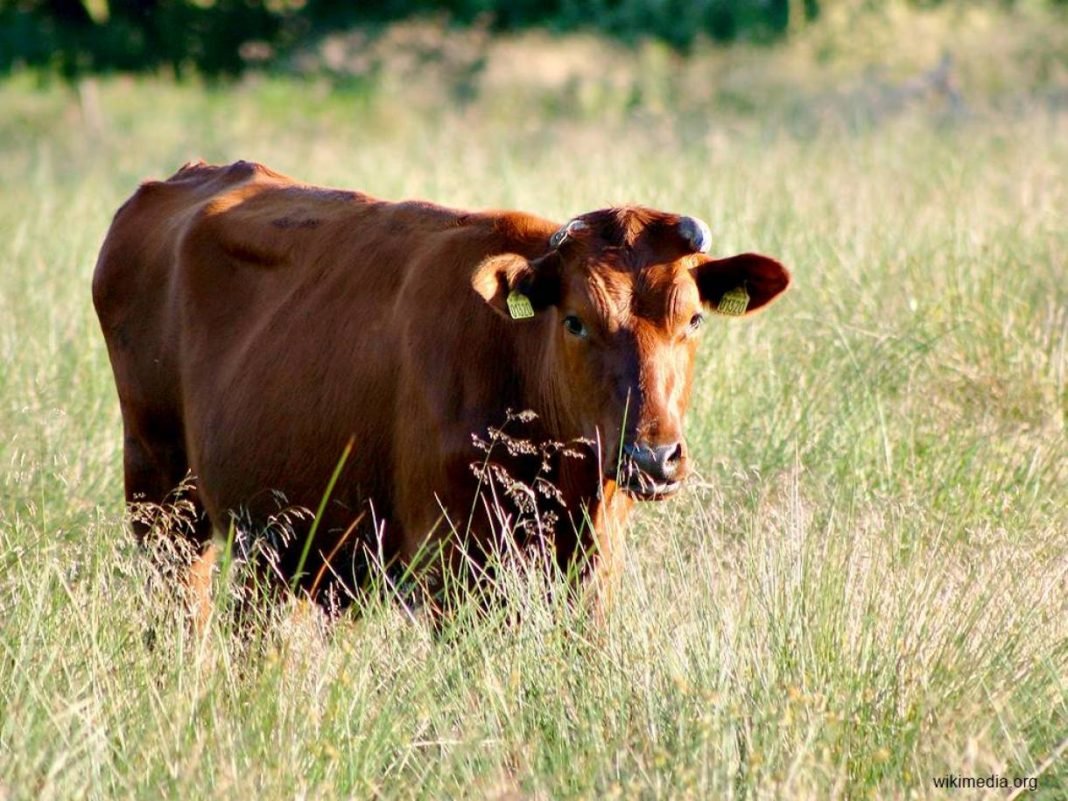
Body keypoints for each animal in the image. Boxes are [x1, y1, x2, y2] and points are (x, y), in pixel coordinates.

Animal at [92, 160, 790, 622]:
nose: (653, 457)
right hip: (162, 495)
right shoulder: (449, 562)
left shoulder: (594, 556)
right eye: (575, 321)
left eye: (693, 319)